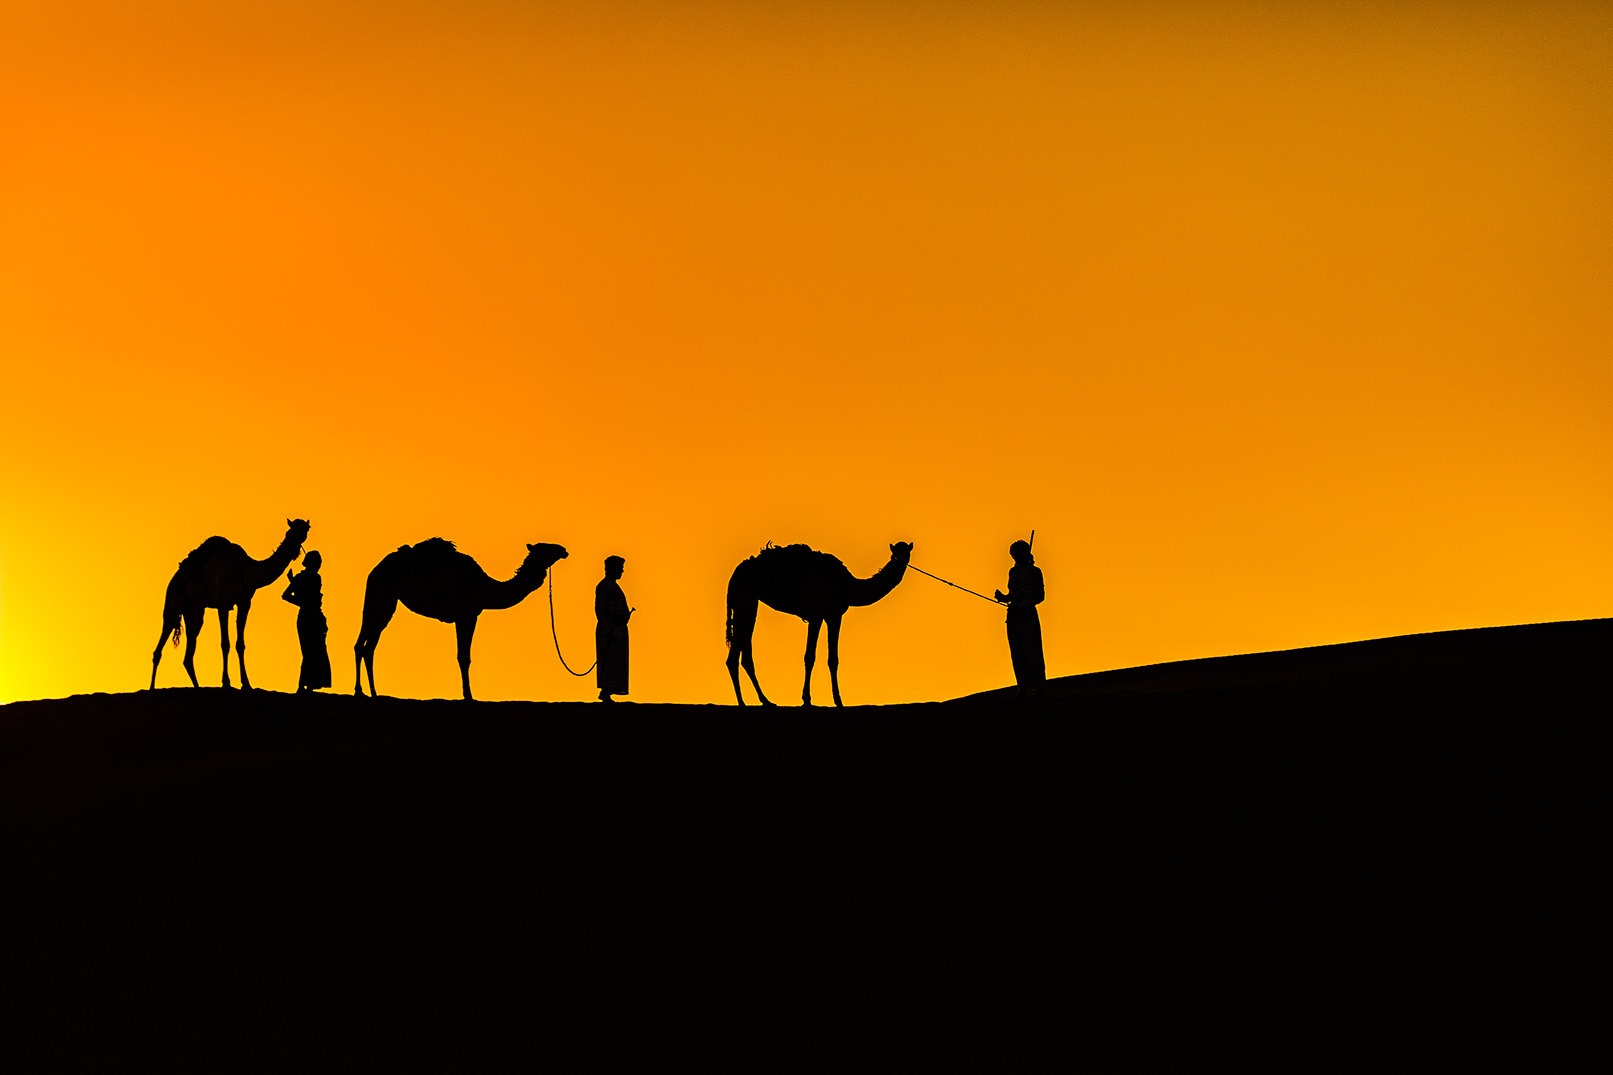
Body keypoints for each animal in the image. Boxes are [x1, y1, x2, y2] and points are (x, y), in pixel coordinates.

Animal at [150, 518, 312, 690]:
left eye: (305, 530)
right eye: (290, 530)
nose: (296, 544)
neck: (244, 569)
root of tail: (175, 578)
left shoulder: (244, 603)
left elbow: (240, 644)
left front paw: (246, 683)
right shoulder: (223, 604)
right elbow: (225, 644)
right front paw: (226, 682)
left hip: (194, 611)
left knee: (188, 654)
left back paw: (198, 686)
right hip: (172, 603)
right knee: (160, 646)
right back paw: (152, 687)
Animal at [353, 538, 569, 701]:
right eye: (545, 548)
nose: (563, 550)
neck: (485, 588)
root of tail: (375, 569)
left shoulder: (466, 616)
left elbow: (463, 656)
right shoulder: (467, 615)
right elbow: (464, 657)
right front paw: (468, 696)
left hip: (385, 601)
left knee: (367, 646)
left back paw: (373, 692)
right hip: (380, 594)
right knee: (362, 644)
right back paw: (360, 691)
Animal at [725, 541, 913, 707]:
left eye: (907, 552)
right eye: (895, 553)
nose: (901, 560)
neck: (846, 585)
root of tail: (735, 573)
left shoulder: (833, 615)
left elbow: (832, 659)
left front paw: (837, 700)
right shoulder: (817, 615)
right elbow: (810, 657)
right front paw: (808, 700)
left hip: (749, 602)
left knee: (745, 653)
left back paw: (766, 701)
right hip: (745, 599)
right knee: (734, 655)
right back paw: (743, 703)